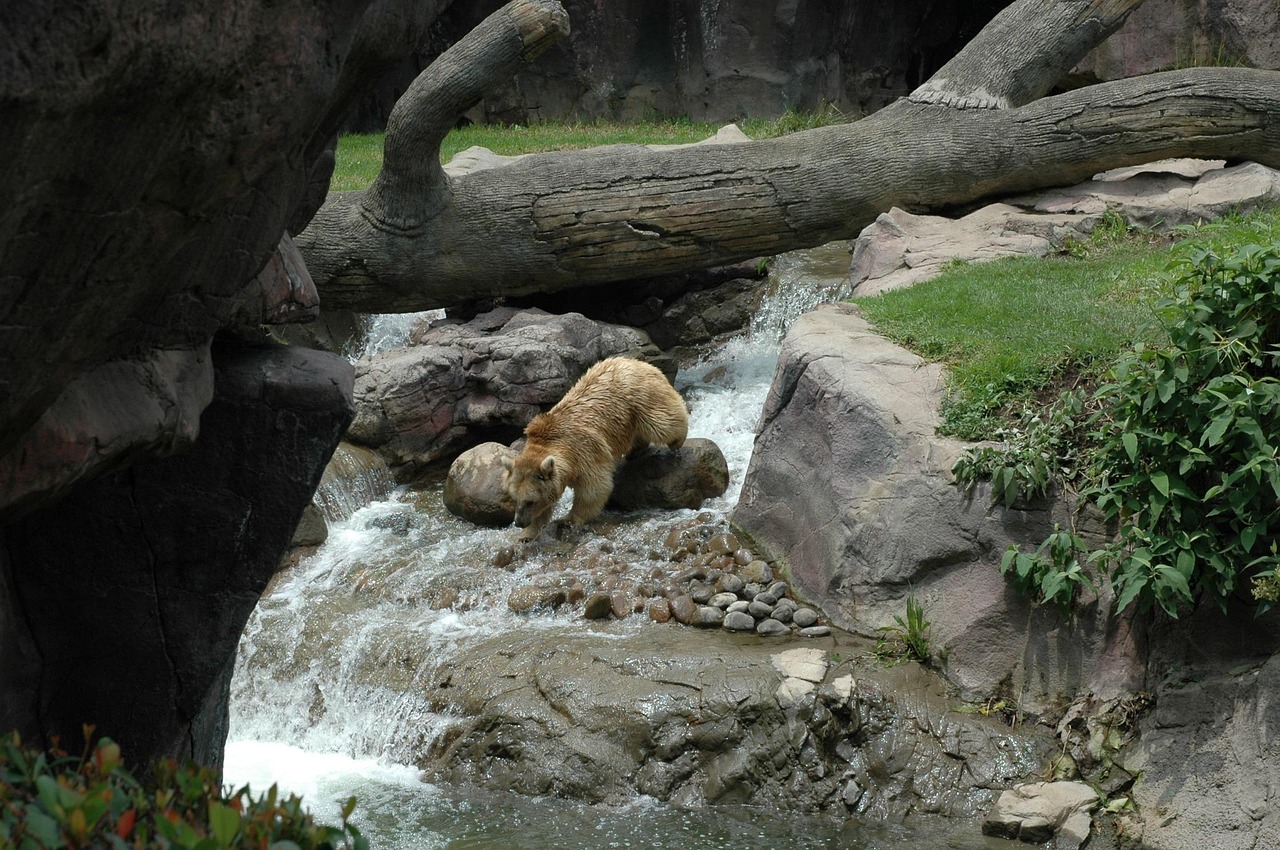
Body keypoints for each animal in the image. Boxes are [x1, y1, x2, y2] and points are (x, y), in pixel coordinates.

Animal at [499, 355, 691, 540]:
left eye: (530, 501)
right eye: (514, 498)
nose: (519, 523)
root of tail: (637, 362)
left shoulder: (585, 452)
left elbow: (594, 488)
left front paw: (568, 519)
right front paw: (527, 535)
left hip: (639, 398)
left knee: (662, 422)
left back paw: (677, 439)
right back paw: (635, 450)